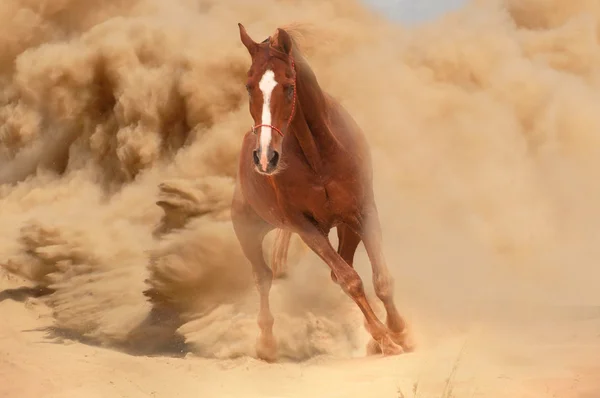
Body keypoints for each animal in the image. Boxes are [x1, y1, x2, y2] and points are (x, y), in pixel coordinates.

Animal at [230, 23, 412, 362]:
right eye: (249, 87)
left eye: (289, 86)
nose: (265, 158)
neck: (319, 158)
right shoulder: (305, 228)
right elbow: (350, 281)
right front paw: (387, 339)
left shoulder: (363, 211)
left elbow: (380, 279)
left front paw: (398, 332)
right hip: (247, 231)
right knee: (263, 277)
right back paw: (267, 344)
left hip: (345, 226)